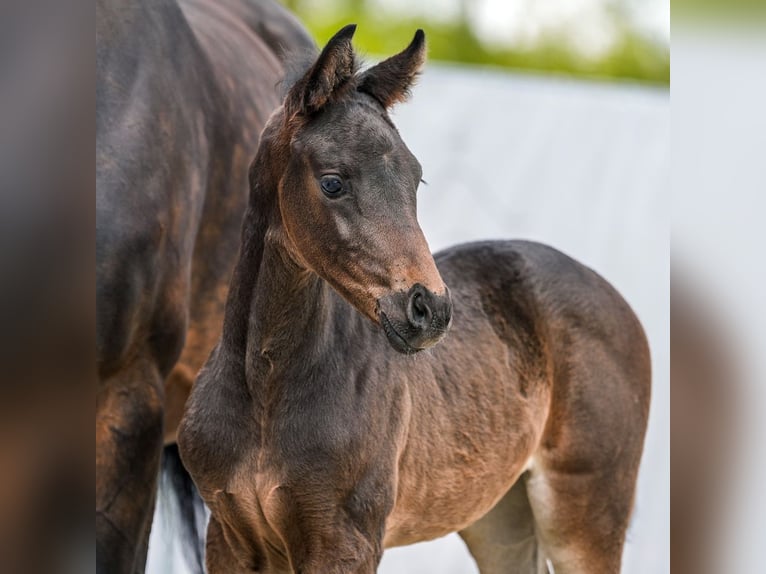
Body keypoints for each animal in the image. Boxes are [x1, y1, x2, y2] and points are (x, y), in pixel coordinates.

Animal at [180, 24, 656, 572]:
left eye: (416, 178)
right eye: (333, 182)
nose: (431, 309)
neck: (264, 390)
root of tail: (616, 299)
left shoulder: (344, 540)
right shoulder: (230, 538)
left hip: (586, 516)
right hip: (500, 516)